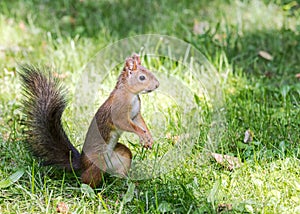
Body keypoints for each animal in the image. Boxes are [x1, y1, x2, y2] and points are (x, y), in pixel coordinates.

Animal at [18, 53, 159, 187]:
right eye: (142, 77)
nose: (157, 85)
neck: (131, 94)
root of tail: (81, 163)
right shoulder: (119, 112)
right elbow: (128, 124)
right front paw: (142, 135)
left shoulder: (135, 115)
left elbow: (140, 123)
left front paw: (148, 137)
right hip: (98, 161)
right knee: (85, 178)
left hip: (122, 155)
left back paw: (125, 180)